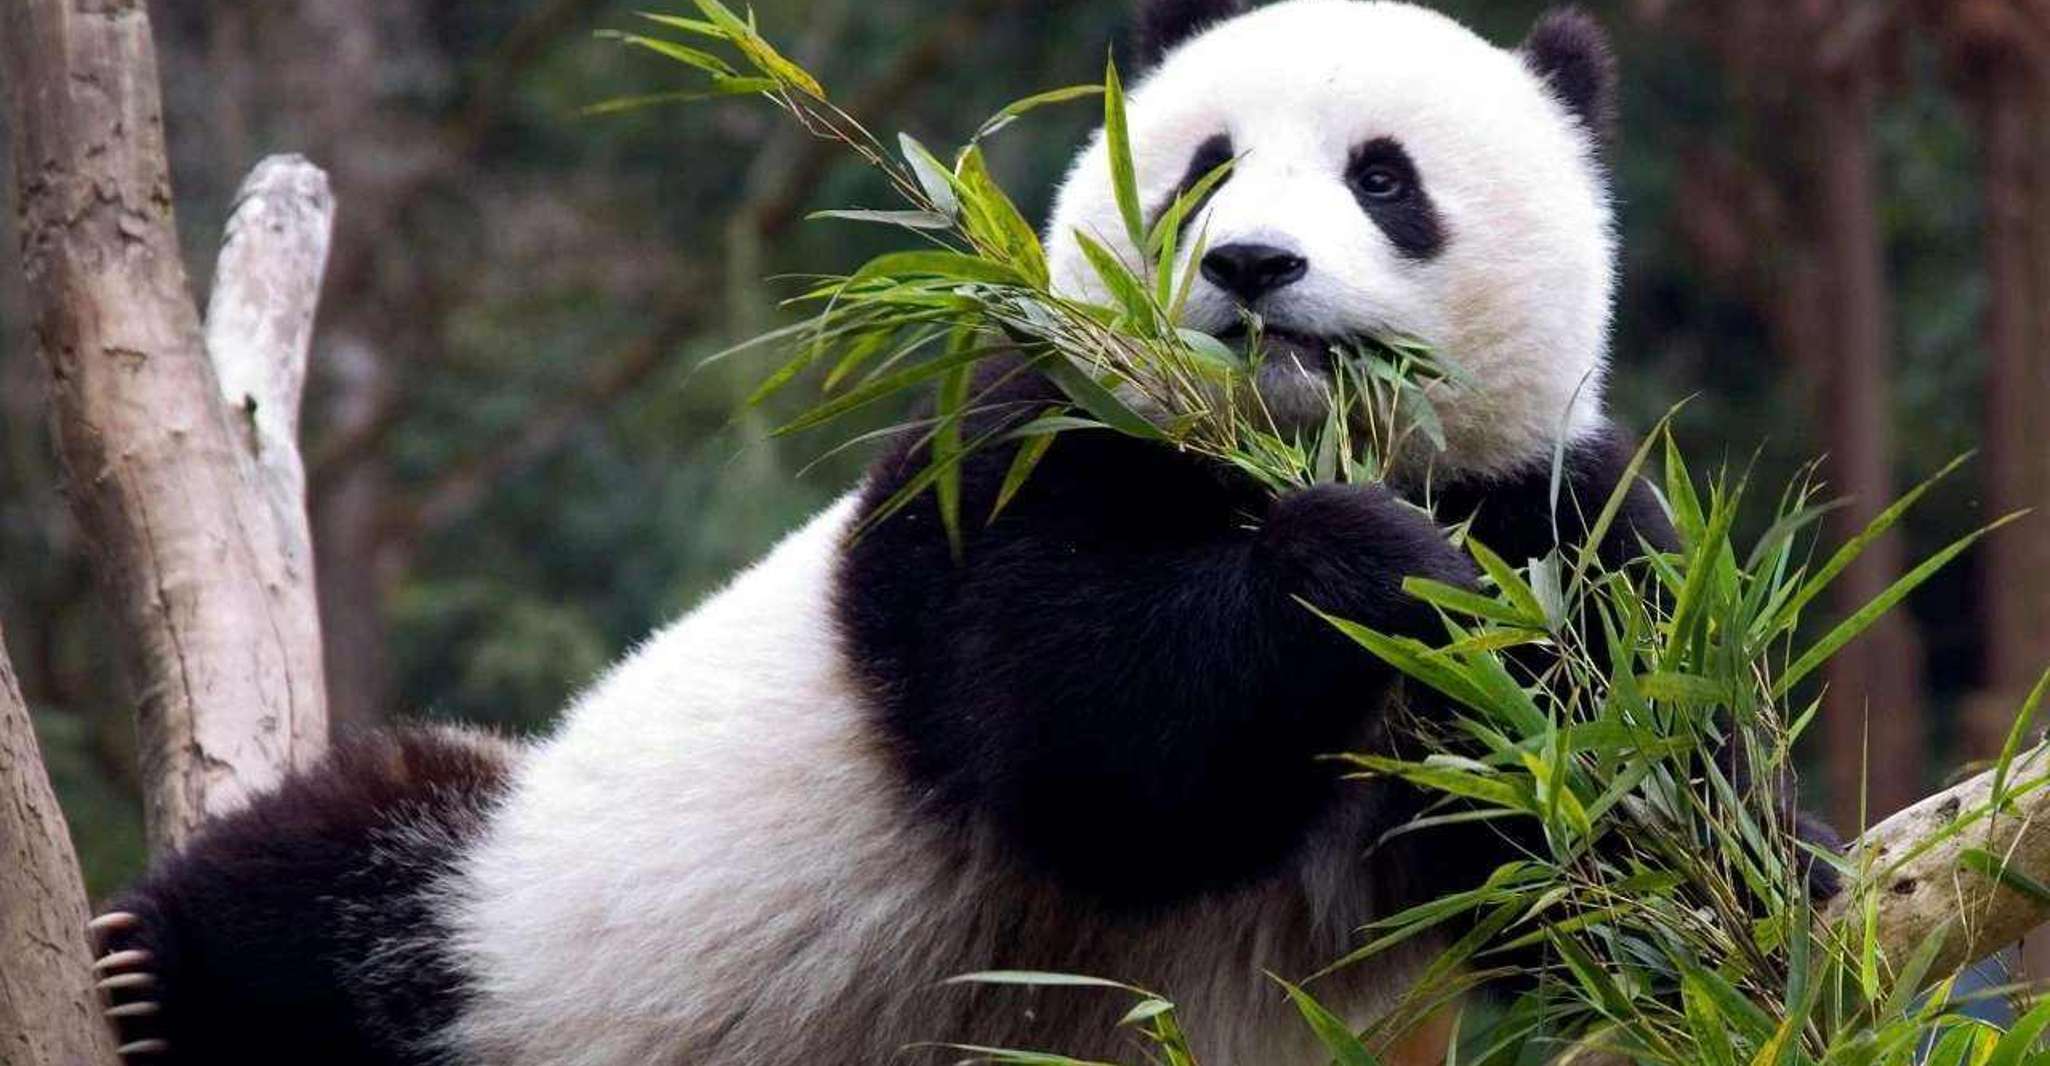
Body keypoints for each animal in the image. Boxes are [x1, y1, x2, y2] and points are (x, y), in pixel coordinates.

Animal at [87, 3, 1798, 1064]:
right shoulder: (1014, 447)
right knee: (345, 895)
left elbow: (1620, 830)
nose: (1252, 265)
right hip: (517, 920)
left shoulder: (1570, 525)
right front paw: (1365, 568)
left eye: (1385, 177)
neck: (1269, 443)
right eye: (1204, 170)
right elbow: (1084, 734)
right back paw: (146, 973)